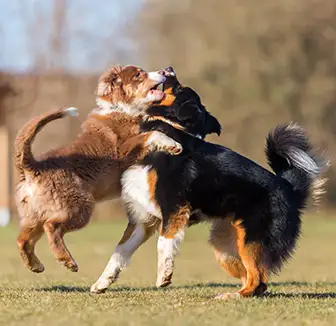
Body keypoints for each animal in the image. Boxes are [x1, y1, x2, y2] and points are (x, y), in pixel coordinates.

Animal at [14, 65, 182, 274]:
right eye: (138, 74)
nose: (165, 71)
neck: (122, 109)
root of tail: (33, 167)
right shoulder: (124, 150)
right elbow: (152, 133)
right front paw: (173, 145)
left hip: (34, 215)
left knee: (23, 240)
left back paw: (35, 265)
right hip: (79, 206)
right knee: (51, 226)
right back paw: (67, 261)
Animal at [90, 66, 328, 298]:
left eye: (179, 89)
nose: (169, 68)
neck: (168, 128)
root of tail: (290, 188)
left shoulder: (174, 206)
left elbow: (163, 243)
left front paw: (164, 275)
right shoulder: (143, 218)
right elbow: (119, 252)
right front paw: (102, 283)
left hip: (252, 239)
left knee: (258, 279)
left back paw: (233, 296)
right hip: (226, 247)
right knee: (257, 280)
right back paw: (234, 294)